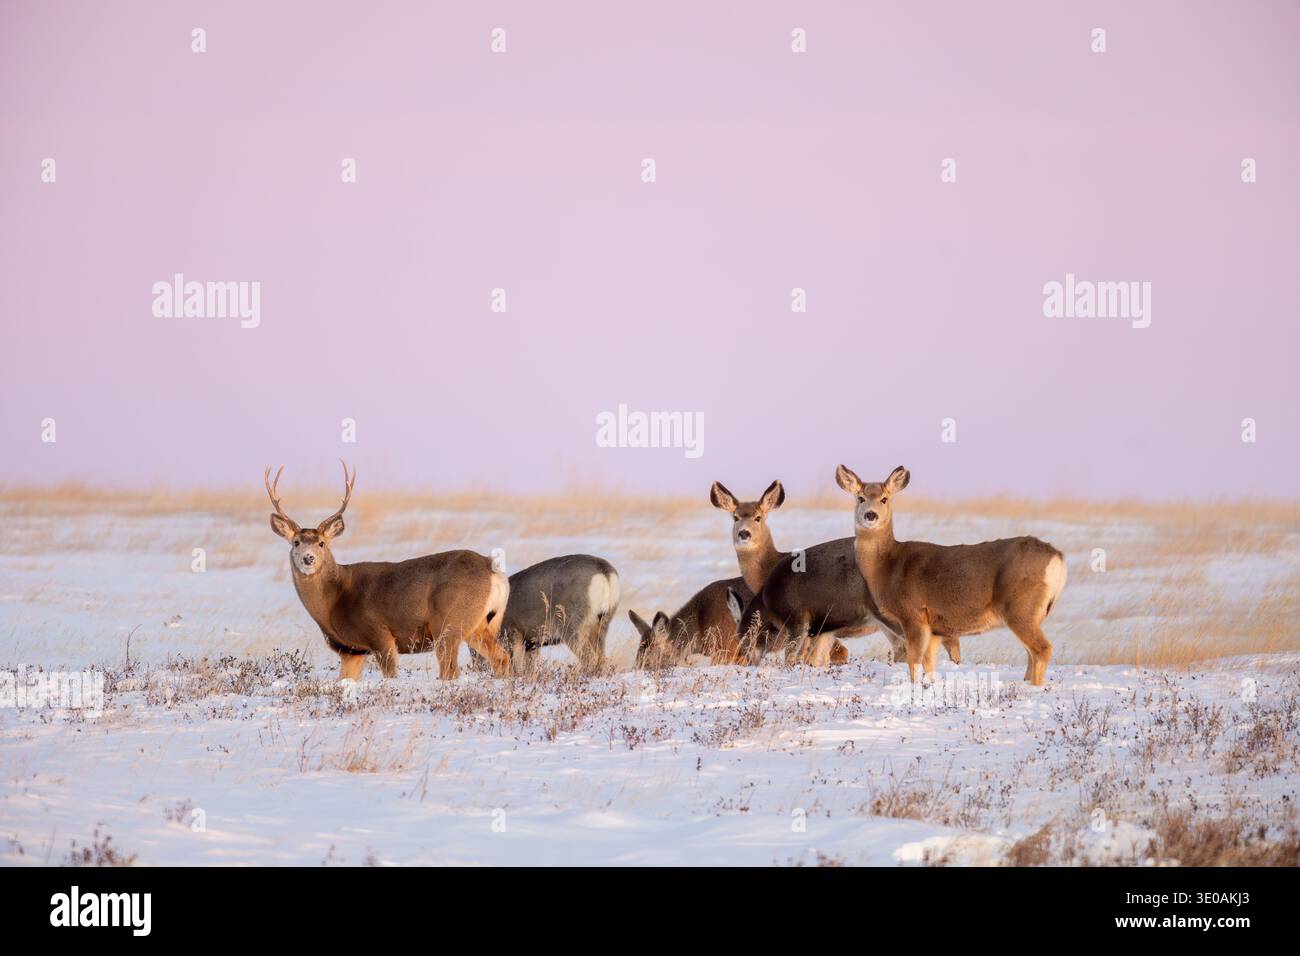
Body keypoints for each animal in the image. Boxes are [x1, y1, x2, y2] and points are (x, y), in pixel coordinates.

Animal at [264, 461, 511, 680]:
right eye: (296, 542)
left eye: (321, 543)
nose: (308, 558)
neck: (334, 601)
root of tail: (494, 572)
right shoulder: (351, 651)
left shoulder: (379, 634)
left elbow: (390, 674)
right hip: (480, 625)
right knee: (501, 658)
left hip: (449, 622)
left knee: (450, 670)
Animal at [834, 464, 1066, 686]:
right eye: (860, 497)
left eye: (884, 498)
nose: (870, 515)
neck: (887, 567)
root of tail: (1058, 558)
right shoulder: (936, 627)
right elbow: (929, 662)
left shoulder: (914, 614)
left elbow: (914, 660)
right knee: (1031, 652)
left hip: (1020, 607)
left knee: (1042, 649)